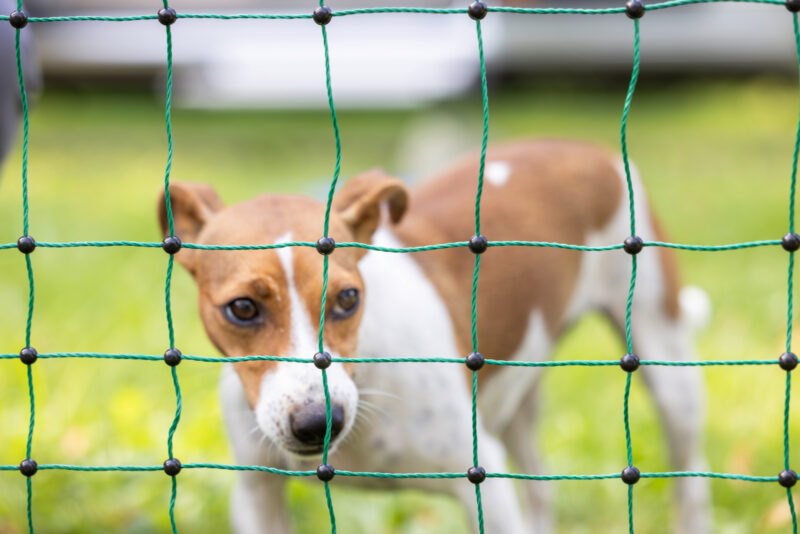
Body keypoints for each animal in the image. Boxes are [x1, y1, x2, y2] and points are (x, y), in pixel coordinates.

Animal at [159, 140, 708, 532]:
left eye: (348, 298)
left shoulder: (484, 483)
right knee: (541, 487)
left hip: (669, 373)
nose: (319, 422)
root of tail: (586, 148)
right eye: (242, 308)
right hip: (518, 394)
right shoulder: (257, 495)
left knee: (692, 483)